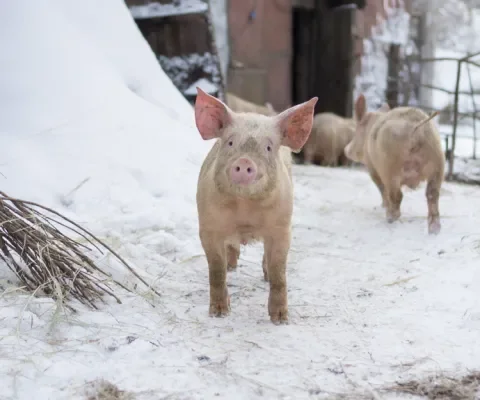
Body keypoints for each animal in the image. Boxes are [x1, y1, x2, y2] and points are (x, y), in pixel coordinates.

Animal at [193, 86, 316, 322]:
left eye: (268, 147)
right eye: (230, 142)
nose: (244, 162)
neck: (245, 210)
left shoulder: (281, 227)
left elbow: (279, 272)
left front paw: (280, 319)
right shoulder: (208, 227)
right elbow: (216, 271)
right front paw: (219, 313)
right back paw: (232, 266)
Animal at [344, 94, 442, 234]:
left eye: (356, 131)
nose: (345, 150)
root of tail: (416, 130)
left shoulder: (372, 167)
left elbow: (380, 187)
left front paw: (383, 206)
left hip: (390, 168)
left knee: (397, 195)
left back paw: (389, 217)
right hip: (438, 161)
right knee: (432, 194)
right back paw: (434, 230)